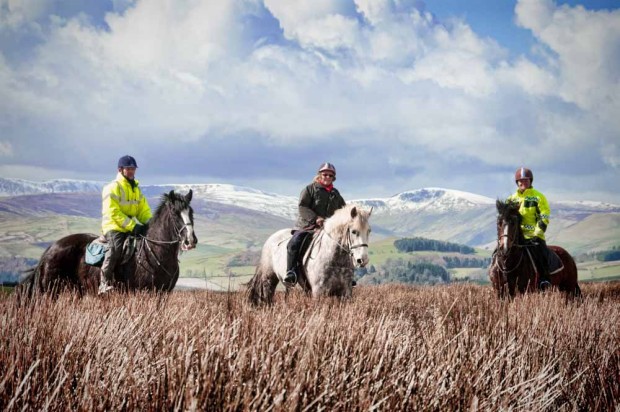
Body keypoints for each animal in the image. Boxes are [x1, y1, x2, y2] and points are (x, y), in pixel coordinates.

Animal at [20, 190, 197, 296]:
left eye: (191, 212)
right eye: (175, 213)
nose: (191, 241)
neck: (155, 251)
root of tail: (50, 249)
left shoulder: (163, 294)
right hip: (50, 292)